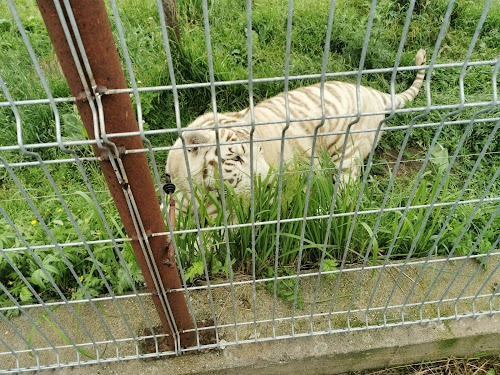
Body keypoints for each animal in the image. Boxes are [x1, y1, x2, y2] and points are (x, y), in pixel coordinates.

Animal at [167, 49, 426, 217]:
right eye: (237, 158)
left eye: (259, 152)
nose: (270, 184)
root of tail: (371, 92)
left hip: (346, 153)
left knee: (345, 192)